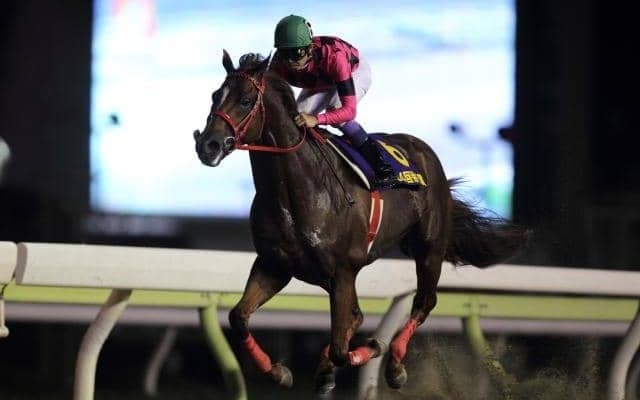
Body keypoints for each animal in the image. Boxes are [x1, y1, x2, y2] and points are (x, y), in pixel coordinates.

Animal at [193, 51, 529, 395]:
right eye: (215, 95)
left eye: (246, 100)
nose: (208, 145)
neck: (297, 189)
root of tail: (424, 151)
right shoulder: (275, 265)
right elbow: (239, 317)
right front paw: (279, 371)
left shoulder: (342, 271)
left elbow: (343, 349)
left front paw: (374, 348)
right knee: (356, 315)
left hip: (428, 248)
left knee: (423, 302)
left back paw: (394, 366)